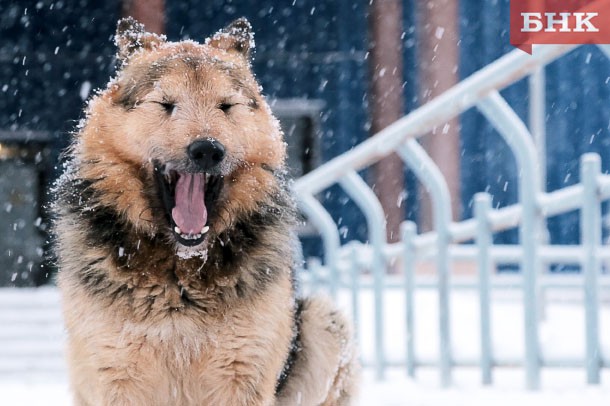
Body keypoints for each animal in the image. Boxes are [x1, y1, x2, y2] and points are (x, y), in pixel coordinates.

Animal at [53, 16, 356, 406]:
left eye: (226, 106)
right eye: (166, 103)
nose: (207, 150)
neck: (179, 271)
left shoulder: (241, 375)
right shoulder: (116, 374)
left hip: (324, 319)